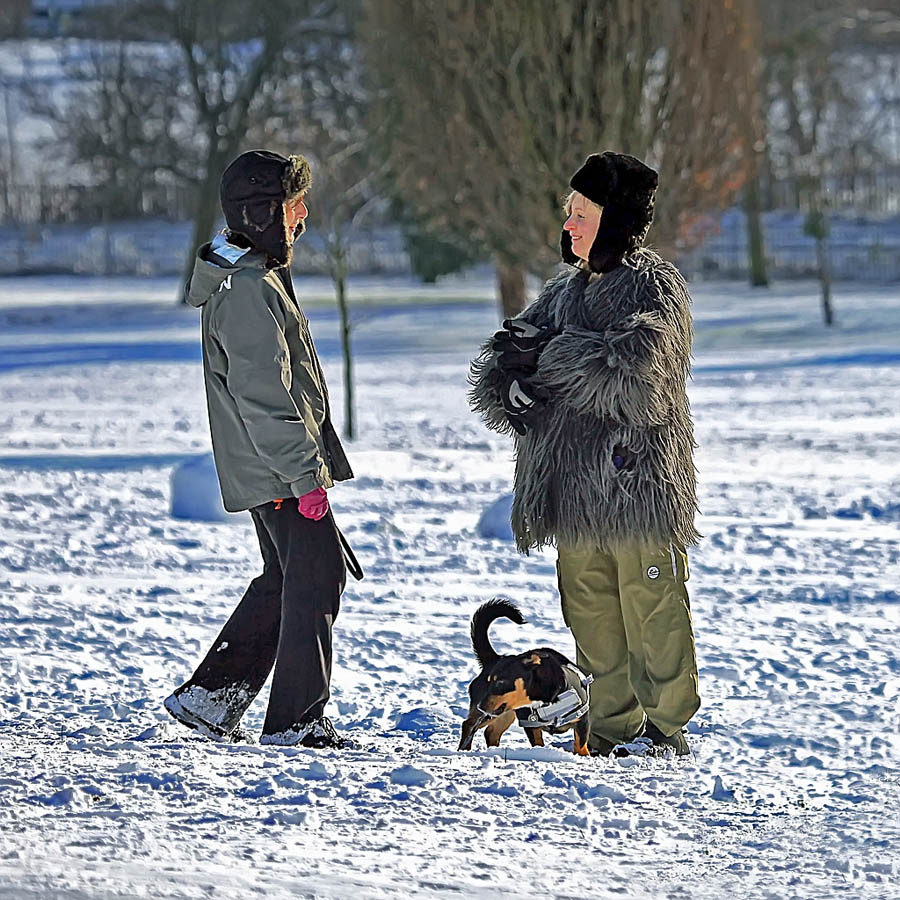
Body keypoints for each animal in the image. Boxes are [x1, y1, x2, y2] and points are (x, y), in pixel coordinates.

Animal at [458, 600, 592, 756]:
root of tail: (494, 658)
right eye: (489, 682)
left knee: (491, 732)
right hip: (492, 714)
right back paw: (464, 750)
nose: (480, 706)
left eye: (501, 682)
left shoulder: (582, 720)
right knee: (469, 725)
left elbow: (581, 745)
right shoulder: (530, 725)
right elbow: (538, 743)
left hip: (503, 714)